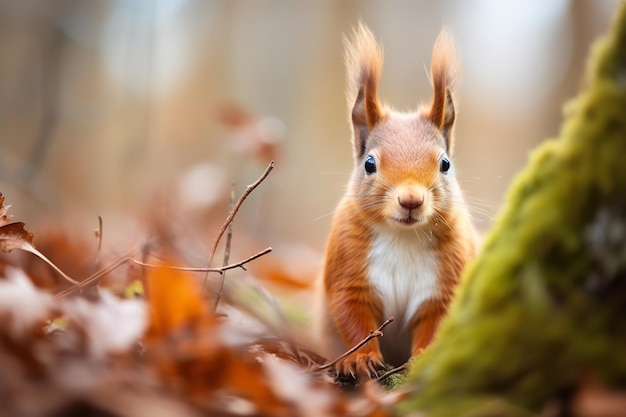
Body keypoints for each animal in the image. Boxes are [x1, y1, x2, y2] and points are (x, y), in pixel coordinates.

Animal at [316, 24, 478, 378]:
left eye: (445, 164)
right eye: (369, 164)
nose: (411, 200)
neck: (404, 236)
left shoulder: (446, 279)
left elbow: (437, 322)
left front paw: (424, 358)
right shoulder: (348, 266)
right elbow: (353, 317)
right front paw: (361, 359)